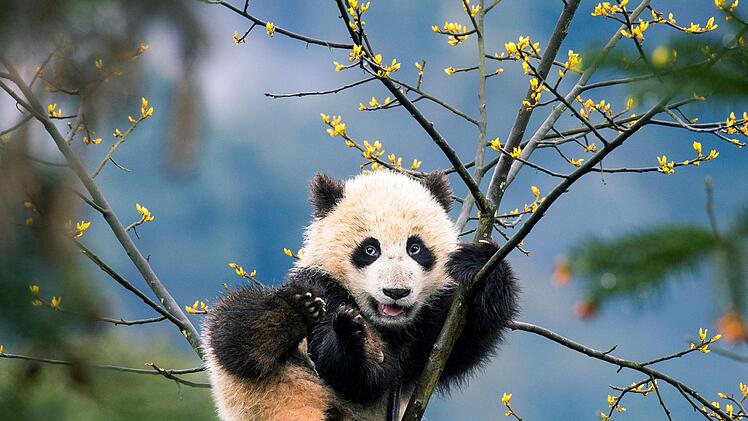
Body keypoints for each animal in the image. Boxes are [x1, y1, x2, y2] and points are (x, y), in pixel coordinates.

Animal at [203, 170, 519, 421]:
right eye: (370, 249)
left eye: (415, 248)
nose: (396, 292)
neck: (385, 325)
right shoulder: (322, 286)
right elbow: (351, 375)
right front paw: (352, 339)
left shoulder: (425, 336)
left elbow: (463, 340)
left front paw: (479, 262)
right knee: (235, 330)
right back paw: (288, 315)